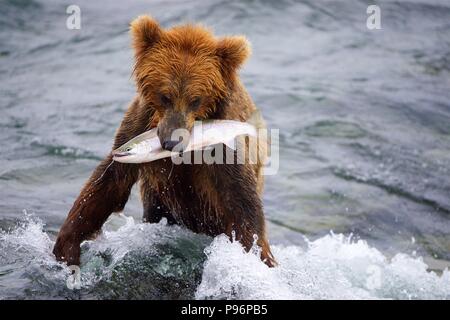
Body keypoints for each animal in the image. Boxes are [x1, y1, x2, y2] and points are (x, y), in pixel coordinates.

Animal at [54, 16, 276, 268]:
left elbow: (241, 201)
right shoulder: (139, 124)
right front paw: (66, 246)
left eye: (195, 99)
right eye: (165, 96)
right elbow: (108, 182)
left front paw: (260, 257)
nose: (171, 142)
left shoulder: (223, 148)